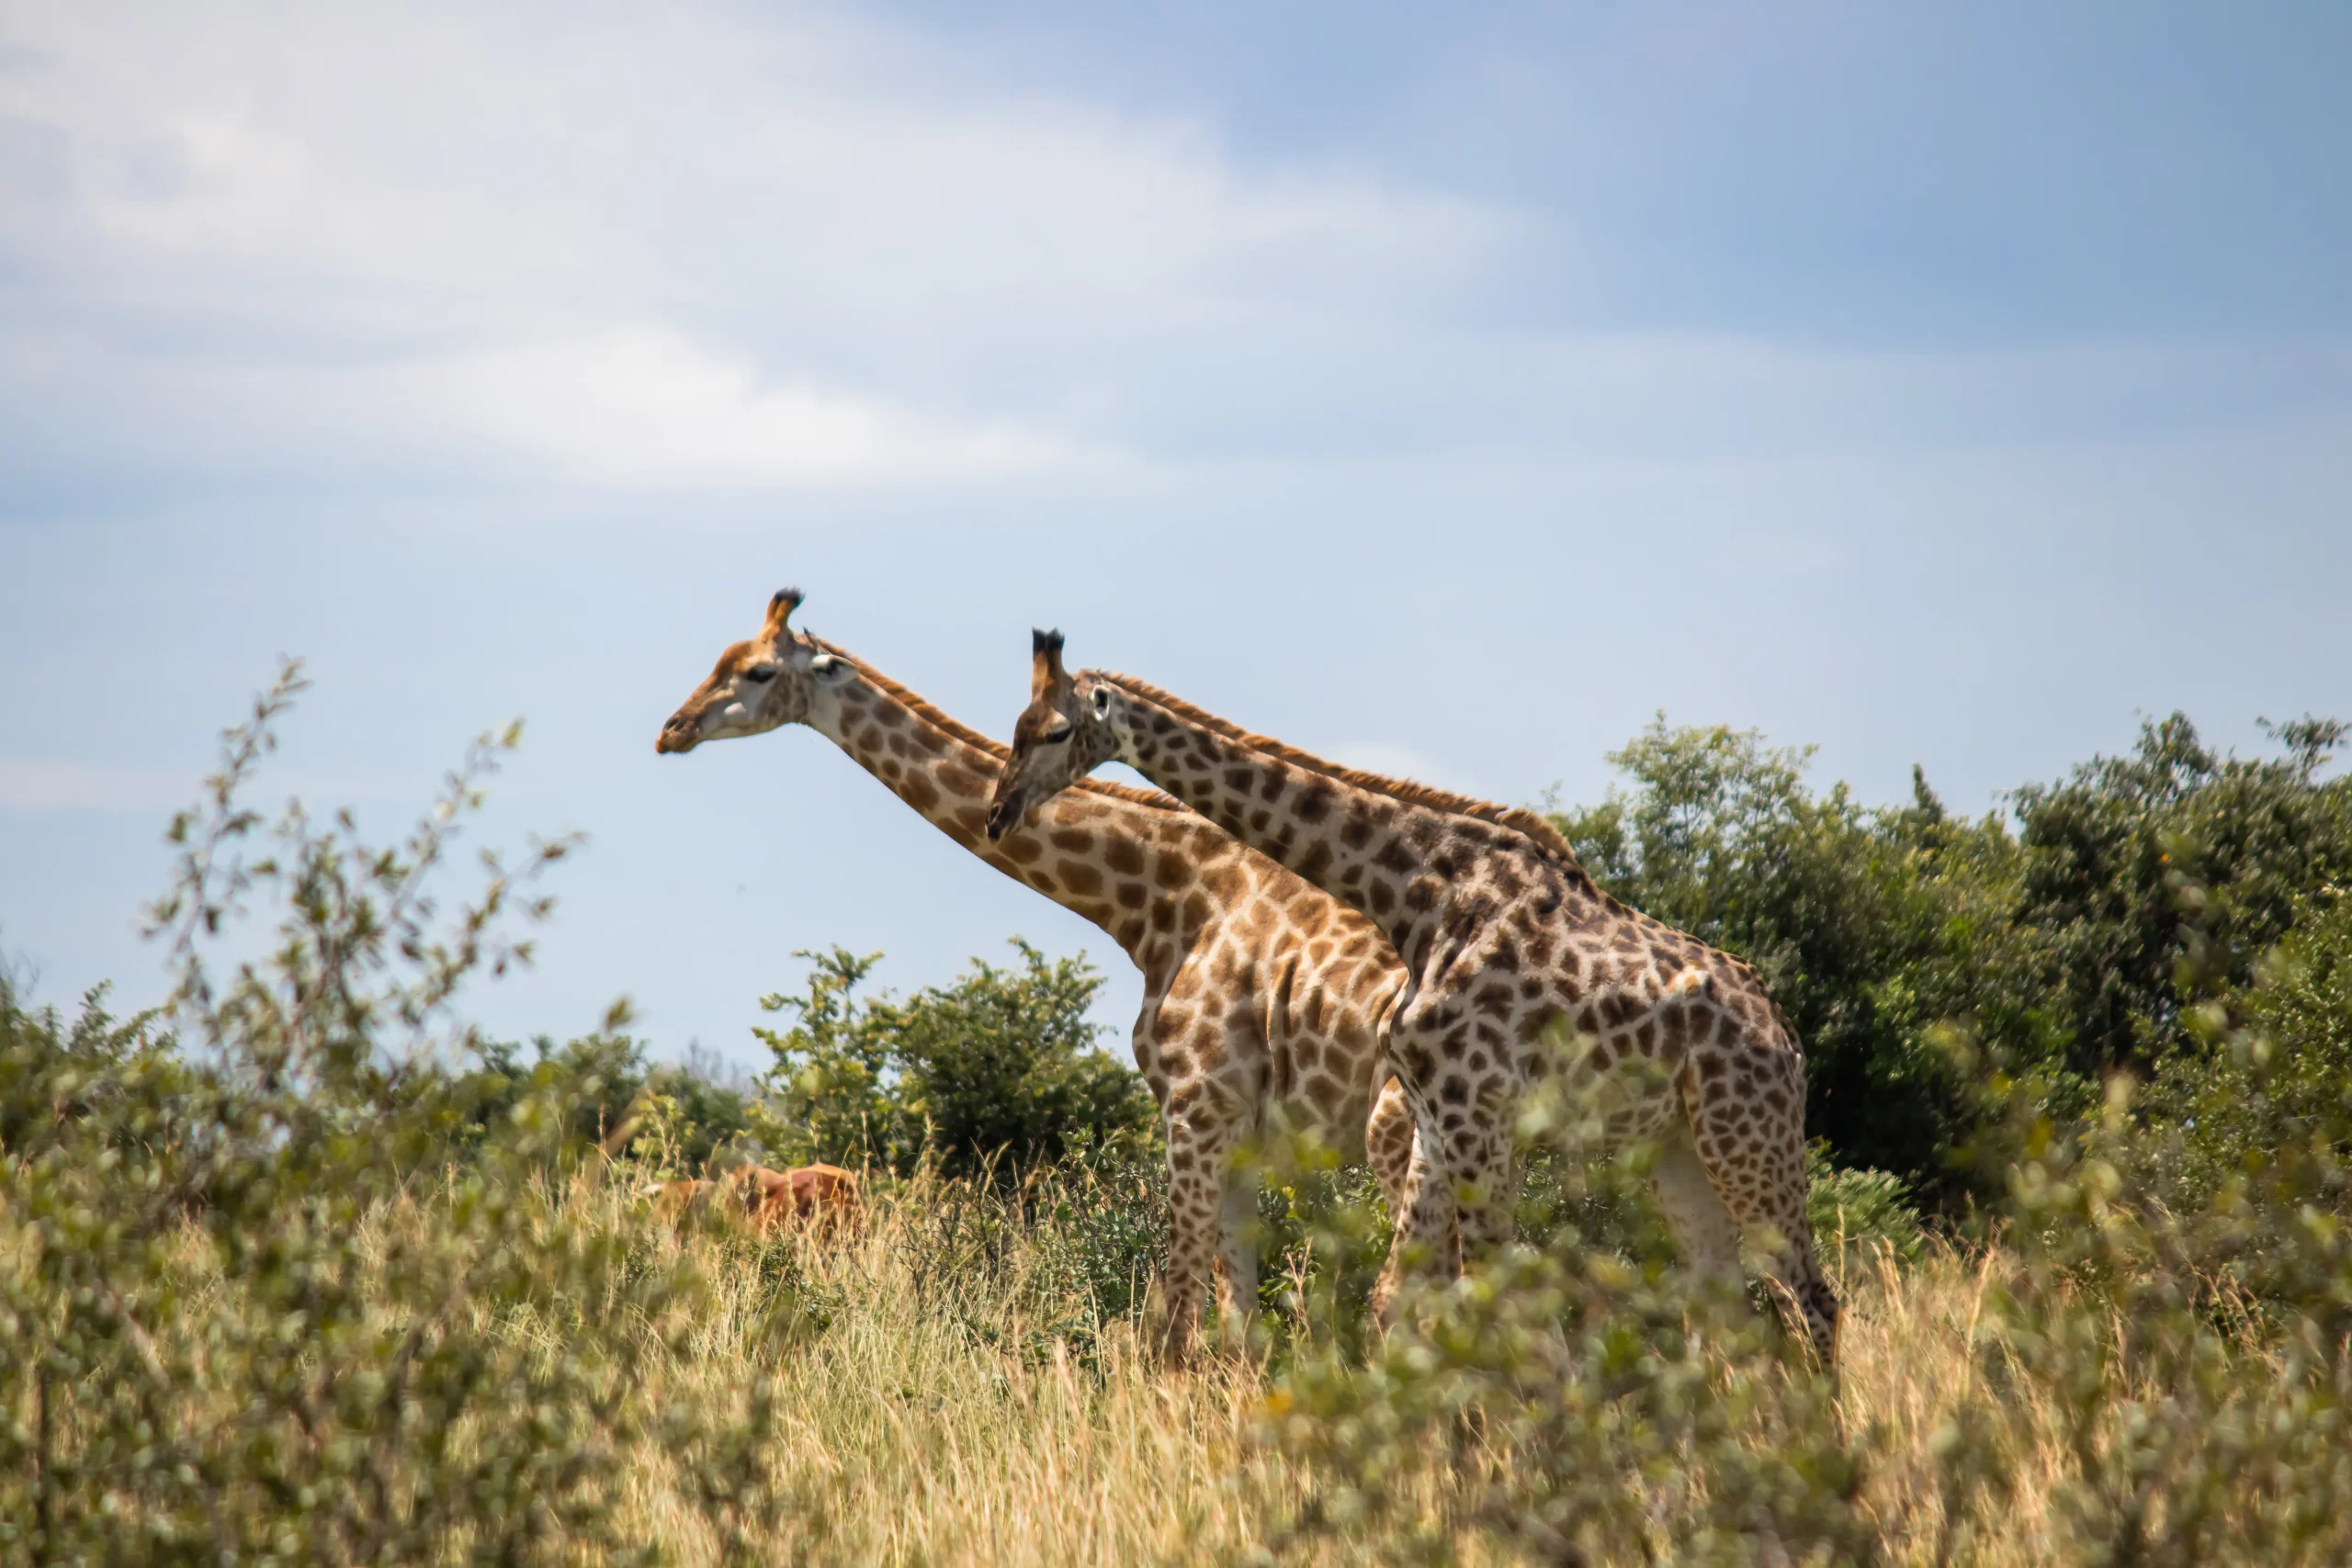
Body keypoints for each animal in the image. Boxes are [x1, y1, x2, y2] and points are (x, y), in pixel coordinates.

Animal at [654, 590, 1424, 1362]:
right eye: (720, 659)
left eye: (756, 672)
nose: (672, 730)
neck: (1166, 895)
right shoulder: (1240, 1133)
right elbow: (1240, 1328)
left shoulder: (1196, 1107)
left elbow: (1179, 1318)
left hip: (1397, 1137)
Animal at [984, 633, 1840, 1367]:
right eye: (1015, 726)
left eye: (1056, 731)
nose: (999, 811)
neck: (1420, 898)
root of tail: (1788, 1035)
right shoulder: (1436, 1118)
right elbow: (1407, 1302)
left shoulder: (1476, 1115)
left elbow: (1502, 1302)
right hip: (1679, 1149)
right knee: (1730, 1303)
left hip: (1748, 1138)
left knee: (1813, 1299)